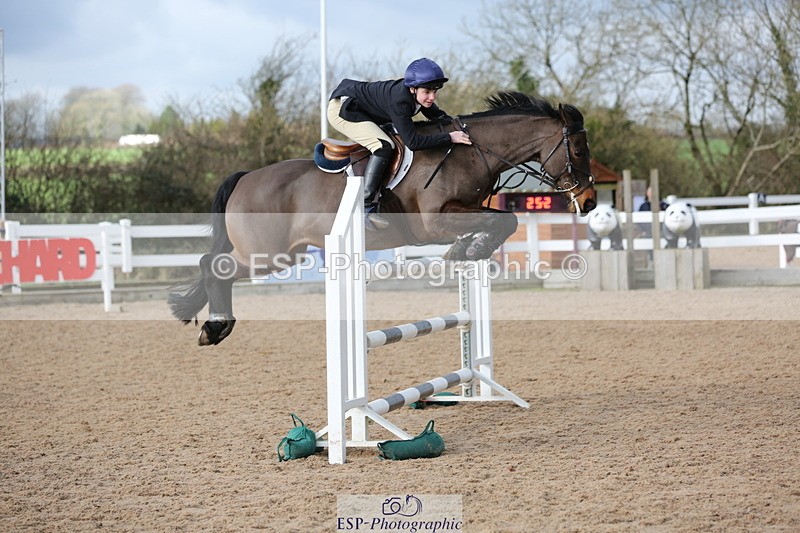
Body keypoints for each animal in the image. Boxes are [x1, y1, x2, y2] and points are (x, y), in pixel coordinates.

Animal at [168, 91, 597, 345]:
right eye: (578, 149)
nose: (590, 200)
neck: (470, 152)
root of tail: (245, 177)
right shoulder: (435, 221)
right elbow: (504, 222)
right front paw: (466, 252)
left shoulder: (464, 212)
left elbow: (499, 222)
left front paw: (465, 251)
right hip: (269, 254)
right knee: (213, 266)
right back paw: (216, 326)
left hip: (283, 253)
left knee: (214, 266)